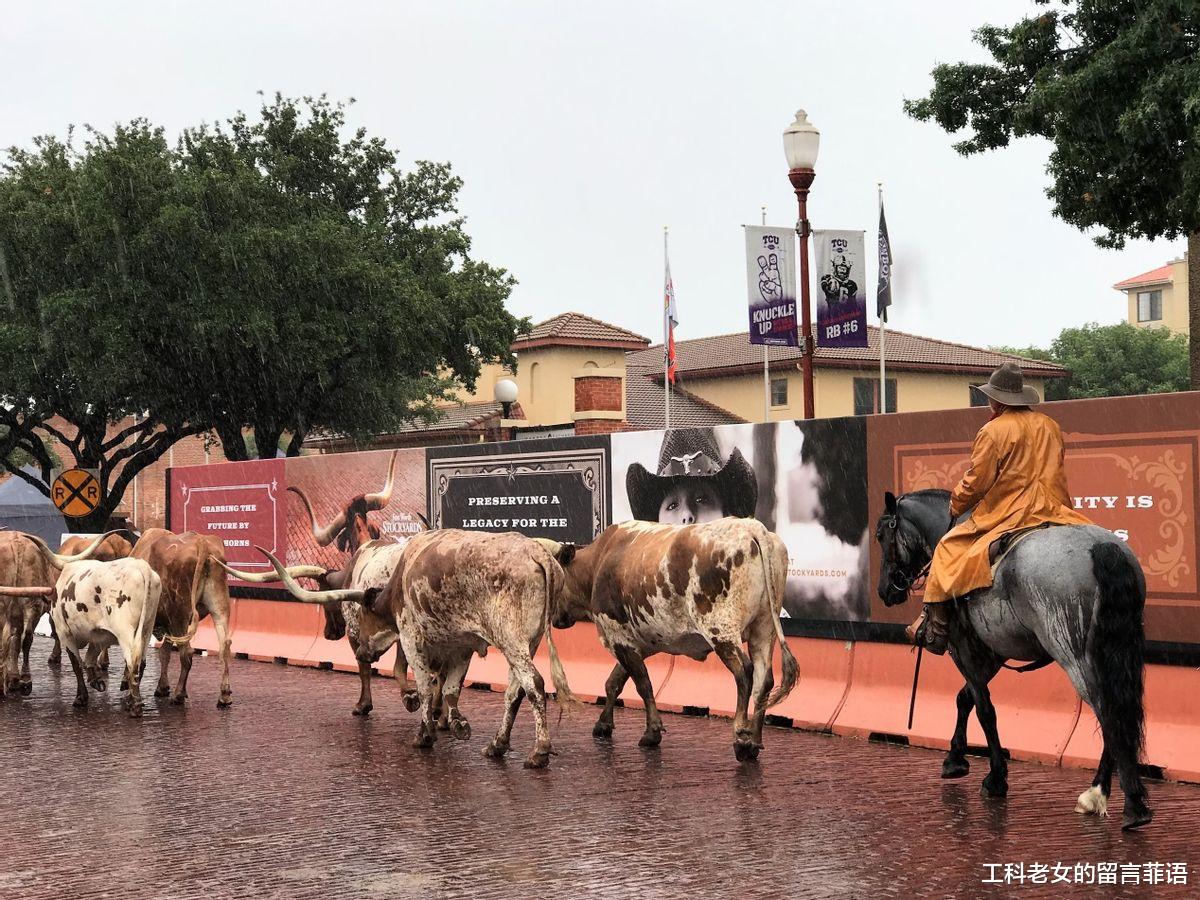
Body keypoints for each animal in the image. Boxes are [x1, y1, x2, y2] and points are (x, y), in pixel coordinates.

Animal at [878, 494, 1147, 830]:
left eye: (882, 536)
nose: (885, 590)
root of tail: (1102, 548)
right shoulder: (994, 651)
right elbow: (964, 698)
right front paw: (955, 757)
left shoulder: (964, 648)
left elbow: (984, 709)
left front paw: (995, 776)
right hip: (1117, 650)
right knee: (1118, 708)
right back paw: (1118, 797)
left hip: (1074, 653)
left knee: (1107, 710)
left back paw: (1110, 796)